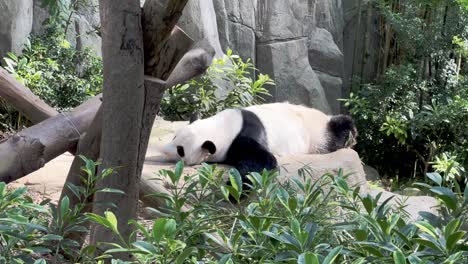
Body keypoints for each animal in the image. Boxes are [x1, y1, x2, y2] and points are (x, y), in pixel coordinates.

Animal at [159, 102, 356, 189]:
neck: (222, 127)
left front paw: (233, 190)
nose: (163, 151)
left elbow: (262, 161)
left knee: (335, 133)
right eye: (174, 136)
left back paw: (350, 134)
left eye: (181, 150)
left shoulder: (244, 137)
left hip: (316, 135)